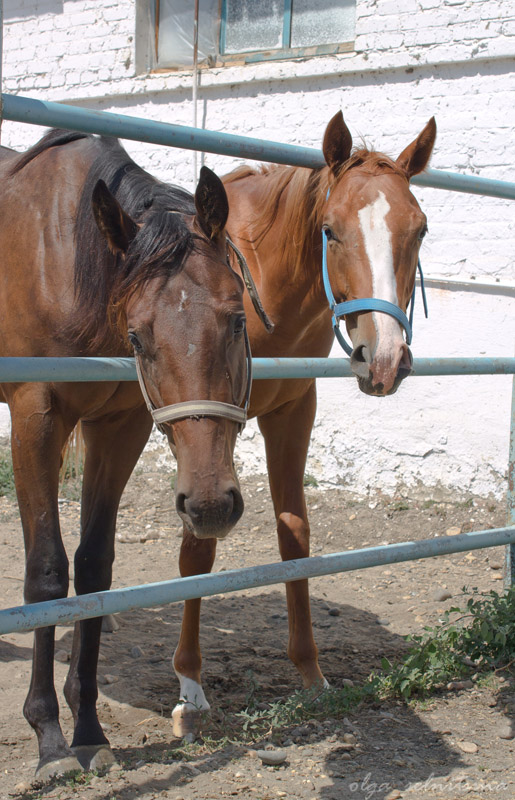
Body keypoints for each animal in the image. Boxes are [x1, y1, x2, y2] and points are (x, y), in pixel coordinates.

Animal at [0, 130, 256, 776]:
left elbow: (94, 567)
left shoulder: (119, 426)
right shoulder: (34, 416)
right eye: (138, 337)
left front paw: (88, 728)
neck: (64, 258)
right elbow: (46, 572)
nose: (210, 504)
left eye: (238, 320)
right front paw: (49, 739)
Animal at [171, 112, 438, 736]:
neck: (260, 281)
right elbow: (198, 547)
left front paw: (311, 673)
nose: (385, 360)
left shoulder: (293, 411)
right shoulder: (204, 423)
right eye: (331, 231)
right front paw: (190, 687)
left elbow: (294, 534)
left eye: (419, 230)